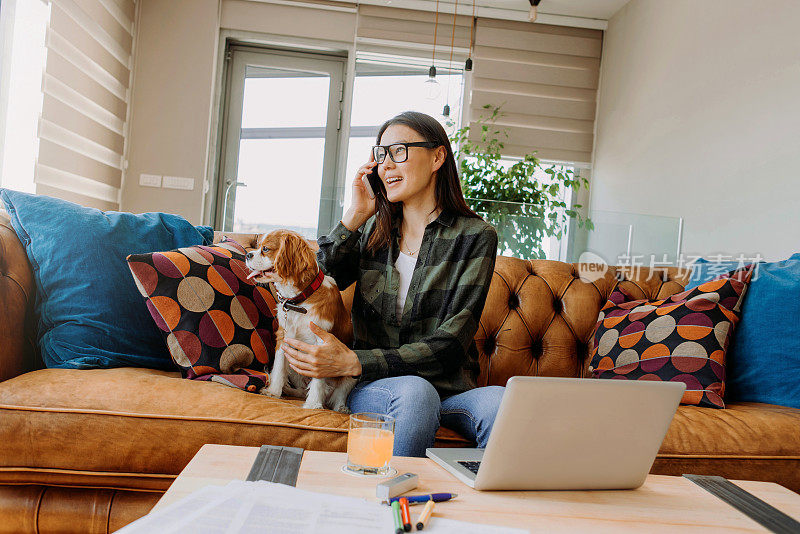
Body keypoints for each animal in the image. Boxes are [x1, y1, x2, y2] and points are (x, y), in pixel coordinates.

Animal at [244, 231, 356, 414]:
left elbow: (318, 377)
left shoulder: (322, 343)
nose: (248, 255)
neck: (299, 300)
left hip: (351, 374)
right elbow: (279, 367)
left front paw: (313, 405)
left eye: (265, 249)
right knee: (302, 389)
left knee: (338, 395)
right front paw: (273, 392)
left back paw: (340, 408)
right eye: (257, 246)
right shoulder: (284, 336)